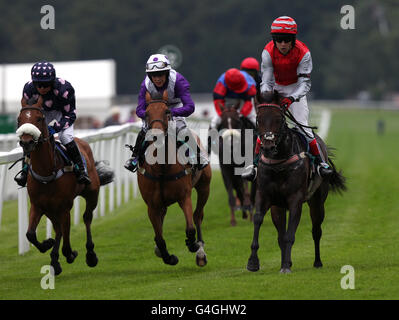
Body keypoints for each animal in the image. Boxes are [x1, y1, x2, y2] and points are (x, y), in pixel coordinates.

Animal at [16, 95, 113, 276]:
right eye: (19, 119)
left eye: (39, 118)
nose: (26, 142)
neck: (47, 171)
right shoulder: (38, 205)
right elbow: (30, 234)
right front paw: (47, 245)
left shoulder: (64, 207)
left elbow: (65, 237)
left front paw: (67, 254)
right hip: (50, 209)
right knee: (59, 227)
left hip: (91, 194)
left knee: (86, 218)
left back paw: (90, 254)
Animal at [138, 90, 212, 268]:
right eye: (147, 113)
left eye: (167, 111)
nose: (156, 136)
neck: (162, 168)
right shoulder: (151, 205)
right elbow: (159, 236)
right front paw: (168, 256)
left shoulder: (184, 196)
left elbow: (190, 228)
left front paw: (193, 245)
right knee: (163, 216)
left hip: (204, 186)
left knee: (198, 215)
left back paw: (200, 252)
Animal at [247, 94, 346, 272]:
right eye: (258, 119)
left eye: (279, 119)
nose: (268, 145)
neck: (279, 162)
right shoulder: (265, 196)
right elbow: (258, 220)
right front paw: (253, 262)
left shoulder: (295, 199)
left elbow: (290, 234)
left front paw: (286, 265)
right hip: (278, 206)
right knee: (281, 235)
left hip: (317, 202)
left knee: (316, 230)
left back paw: (317, 262)